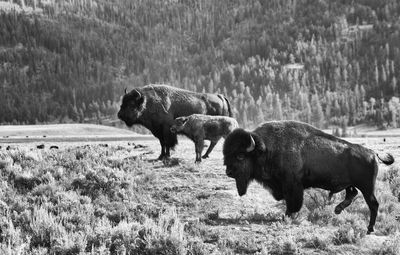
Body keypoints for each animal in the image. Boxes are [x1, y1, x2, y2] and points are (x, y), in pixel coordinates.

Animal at [223, 120, 396, 234]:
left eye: (240, 156)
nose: (228, 171)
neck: (266, 149)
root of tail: (373, 153)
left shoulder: (293, 186)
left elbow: (293, 204)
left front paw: (288, 216)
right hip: (351, 184)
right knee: (352, 194)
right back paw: (337, 210)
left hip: (367, 187)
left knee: (373, 204)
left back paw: (370, 229)